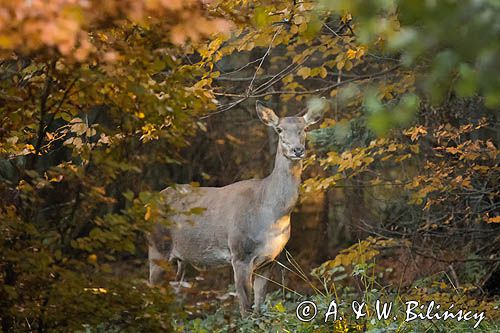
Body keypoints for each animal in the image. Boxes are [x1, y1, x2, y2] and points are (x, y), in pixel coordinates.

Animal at [149, 100, 324, 314]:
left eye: (304, 128)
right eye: (279, 129)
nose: (297, 150)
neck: (271, 213)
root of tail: (149, 203)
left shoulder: (270, 260)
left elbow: (259, 308)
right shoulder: (240, 254)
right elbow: (246, 310)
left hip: (184, 260)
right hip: (157, 248)